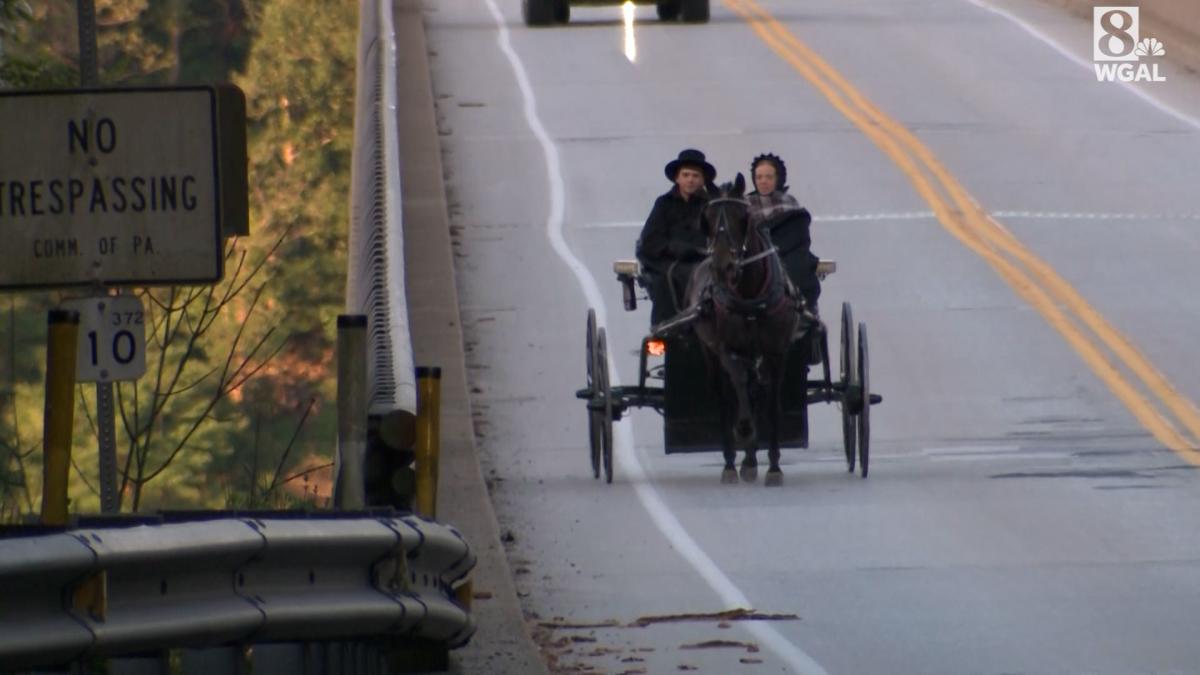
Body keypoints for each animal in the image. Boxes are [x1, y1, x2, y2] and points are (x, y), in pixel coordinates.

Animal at [686, 174, 796, 482]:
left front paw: (773, 466)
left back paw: (749, 461)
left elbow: (771, 405)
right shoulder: (728, 349)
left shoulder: (776, 352)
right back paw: (731, 463)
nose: (722, 266)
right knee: (726, 398)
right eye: (708, 218)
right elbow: (738, 386)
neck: (750, 295)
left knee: (754, 393)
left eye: (741, 216)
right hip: (710, 352)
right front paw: (744, 431)